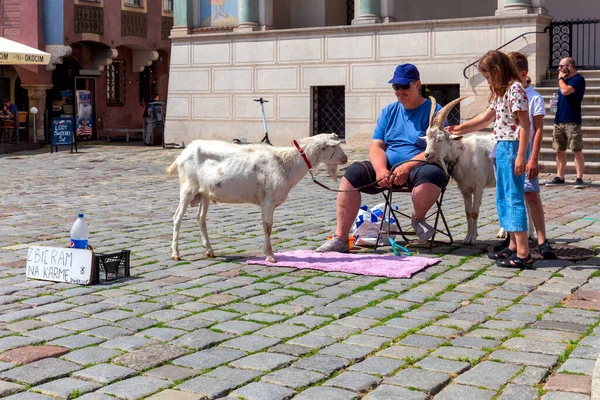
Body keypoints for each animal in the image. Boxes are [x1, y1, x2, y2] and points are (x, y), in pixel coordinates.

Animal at [168, 133, 346, 262]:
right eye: (334, 147)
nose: (345, 159)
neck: (286, 163)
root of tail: (181, 156)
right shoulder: (267, 201)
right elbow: (268, 227)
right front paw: (270, 256)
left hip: (204, 193)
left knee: (200, 218)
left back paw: (210, 251)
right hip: (188, 189)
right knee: (177, 217)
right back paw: (176, 254)